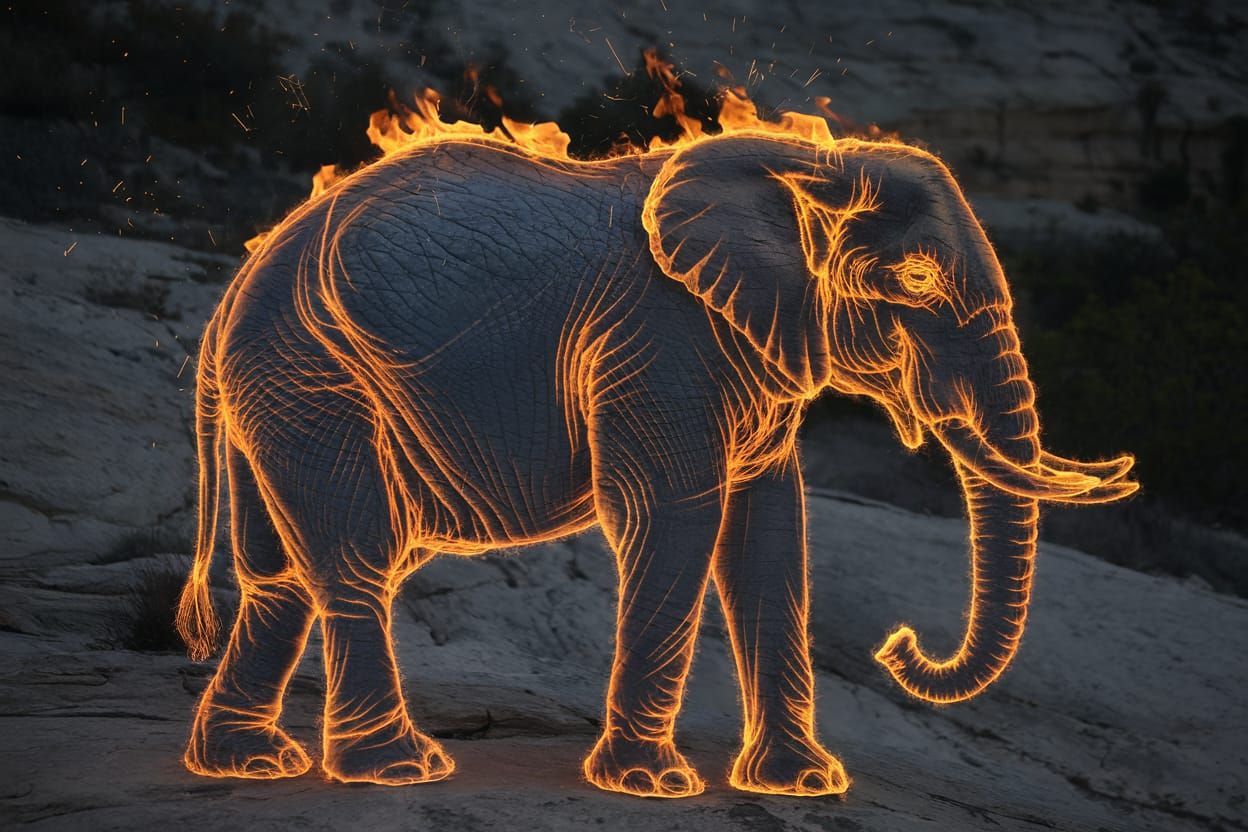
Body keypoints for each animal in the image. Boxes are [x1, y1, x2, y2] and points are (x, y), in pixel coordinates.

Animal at [176, 127, 1137, 798]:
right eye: (918, 284)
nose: (900, 648)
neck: (808, 159)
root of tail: (226, 304)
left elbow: (769, 535)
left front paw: (802, 785)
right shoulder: (658, 341)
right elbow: (675, 514)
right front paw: (651, 786)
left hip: (286, 389)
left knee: (278, 577)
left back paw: (245, 764)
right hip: (314, 377)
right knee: (354, 558)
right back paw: (399, 770)